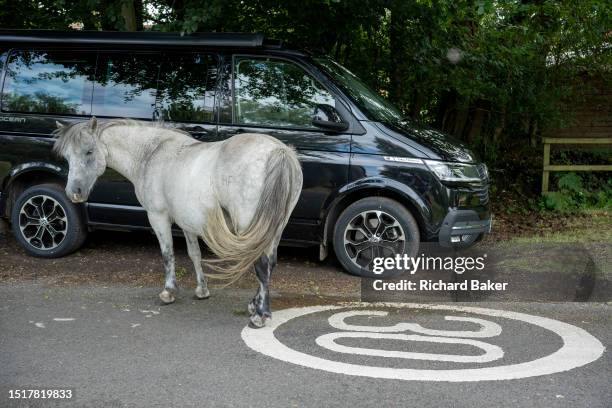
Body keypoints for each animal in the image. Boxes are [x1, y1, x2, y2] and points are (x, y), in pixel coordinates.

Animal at [53, 116, 302, 326]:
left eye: (89, 151)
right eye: (67, 156)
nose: (74, 192)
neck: (151, 153)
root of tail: (278, 150)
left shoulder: (158, 216)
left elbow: (167, 254)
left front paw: (169, 292)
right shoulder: (187, 222)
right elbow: (195, 255)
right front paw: (202, 290)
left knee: (261, 264)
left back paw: (260, 314)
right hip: (274, 228)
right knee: (269, 263)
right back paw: (255, 305)